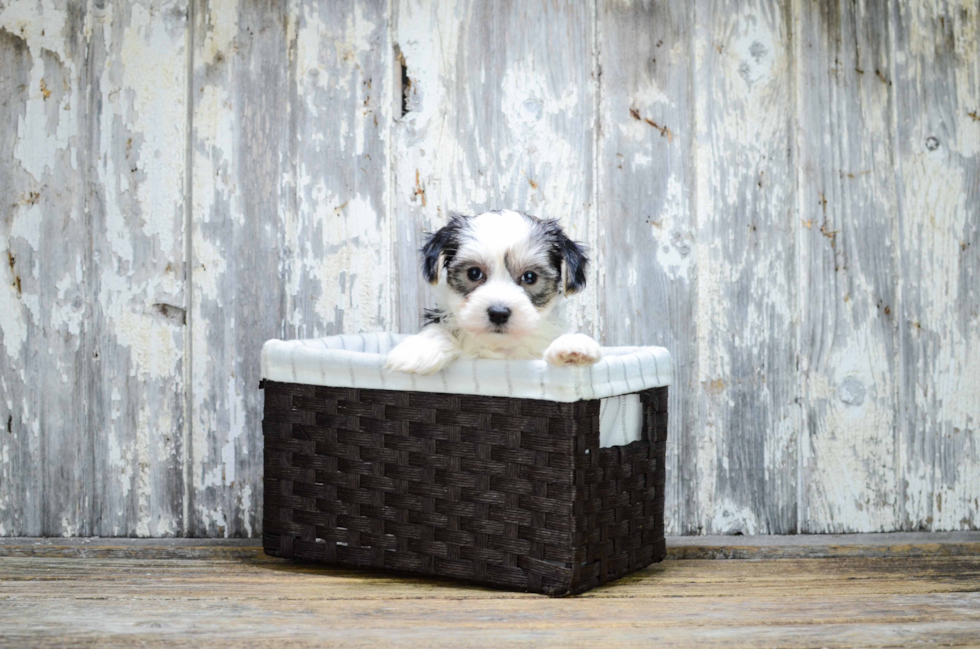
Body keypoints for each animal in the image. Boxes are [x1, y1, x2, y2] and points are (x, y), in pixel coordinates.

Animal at [384, 211, 600, 374]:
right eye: (474, 273)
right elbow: (440, 330)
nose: (498, 313)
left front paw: (571, 346)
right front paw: (420, 349)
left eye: (530, 277)